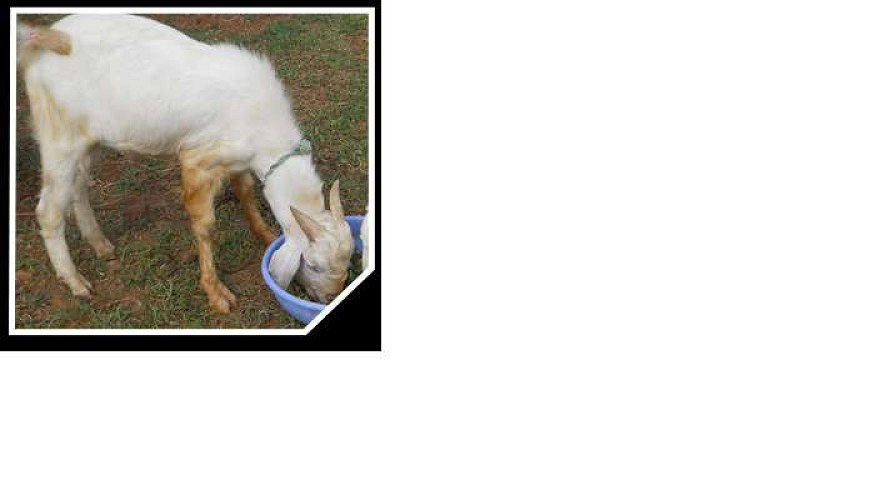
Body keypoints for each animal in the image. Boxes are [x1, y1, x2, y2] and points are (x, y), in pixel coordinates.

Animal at [16, 14, 354, 312]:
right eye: (313, 264)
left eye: (348, 259)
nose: (329, 297)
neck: (264, 125)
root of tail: (47, 37)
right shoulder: (198, 161)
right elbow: (204, 225)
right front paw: (217, 294)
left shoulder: (236, 161)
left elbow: (245, 190)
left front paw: (265, 234)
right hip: (57, 136)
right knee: (48, 211)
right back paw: (76, 282)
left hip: (90, 140)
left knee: (79, 184)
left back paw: (99, 243)